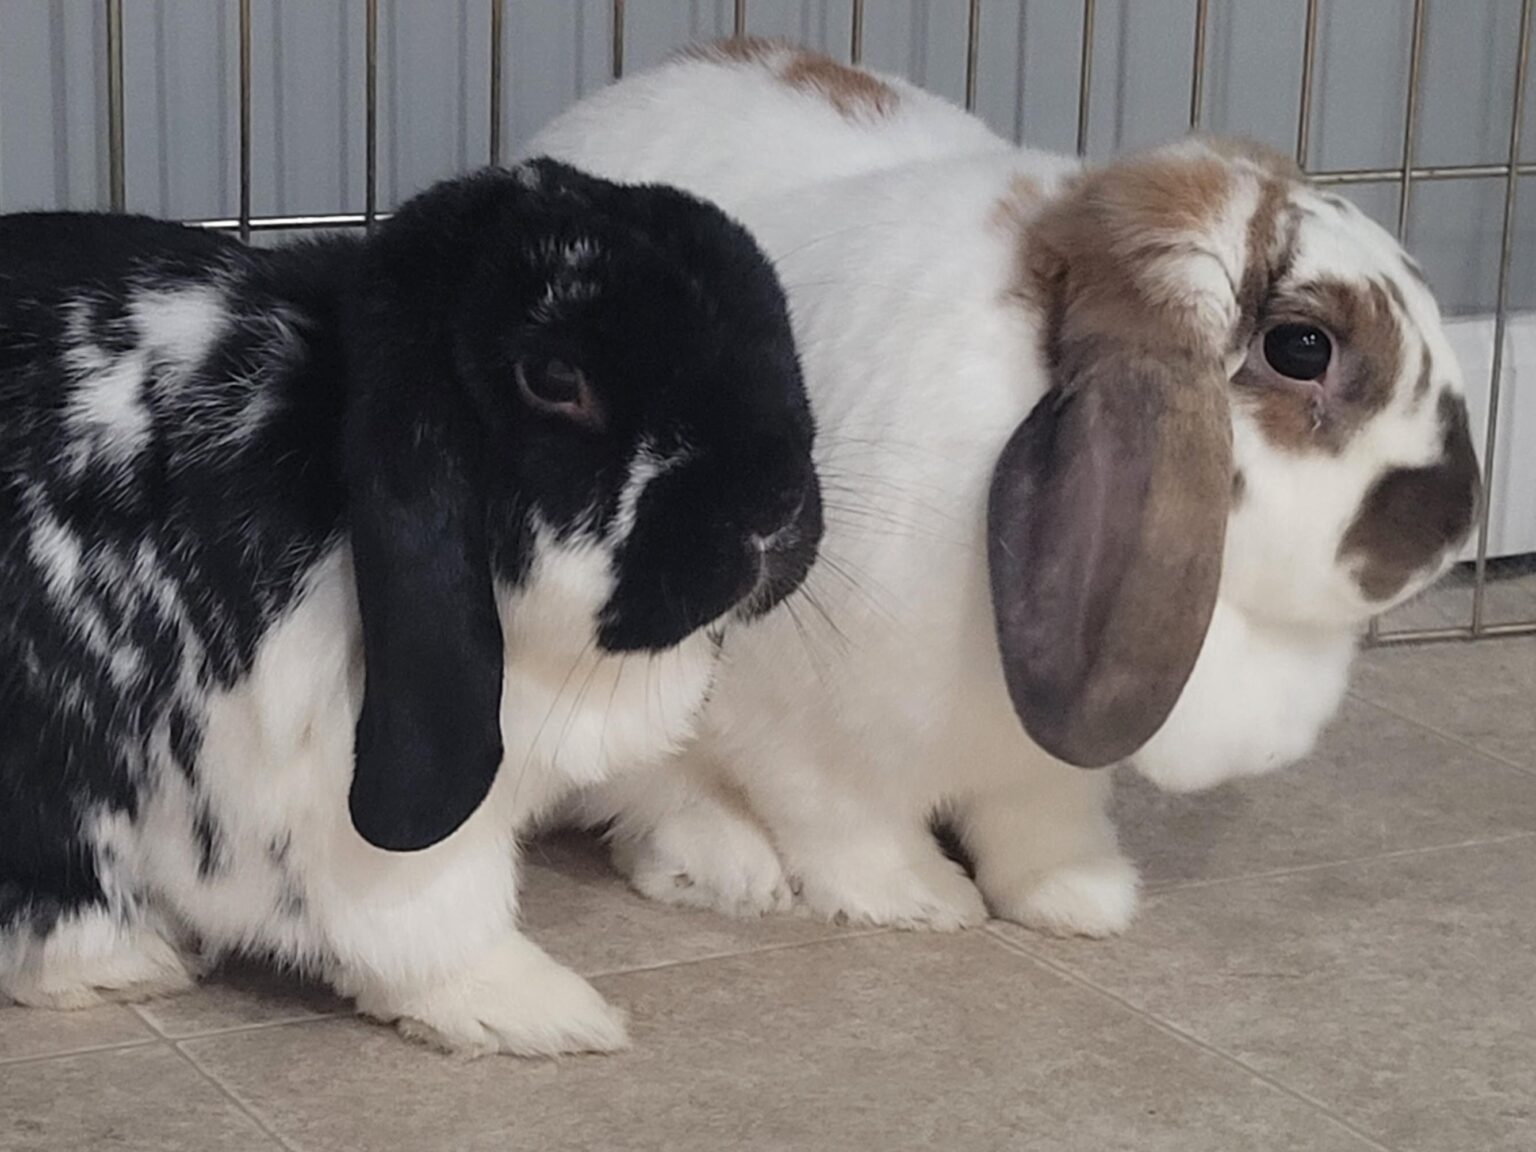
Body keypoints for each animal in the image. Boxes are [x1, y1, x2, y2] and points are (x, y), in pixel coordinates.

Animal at [0, 157, 823, 1055]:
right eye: (555, 380)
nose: (773, 508)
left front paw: (736, 866)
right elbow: (429, 915)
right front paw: (541, 1009)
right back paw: (130, 958)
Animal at [526, 41, 1480, 936]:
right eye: (1302, 348)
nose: (1455, 517)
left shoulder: (1047, 765)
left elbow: (1038, 827)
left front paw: (1081, 899)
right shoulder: (801, 729)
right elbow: (841, 822)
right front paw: (921, 900)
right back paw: (730, 870)